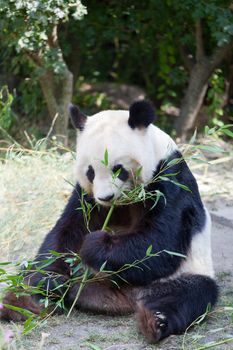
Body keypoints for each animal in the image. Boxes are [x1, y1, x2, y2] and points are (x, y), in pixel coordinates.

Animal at [0, 100, 218, 342]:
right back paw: (23, 303)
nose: (105, 197)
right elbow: (66, 232)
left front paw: (95, 245)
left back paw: (155, 321)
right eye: (90, 172)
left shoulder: (170, 178)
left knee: (189, 295)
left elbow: (161, 242)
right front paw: (48, 278)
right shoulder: (86, 198)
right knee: (30, 276)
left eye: (118, 169)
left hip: (181, 275)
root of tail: (126, 299)